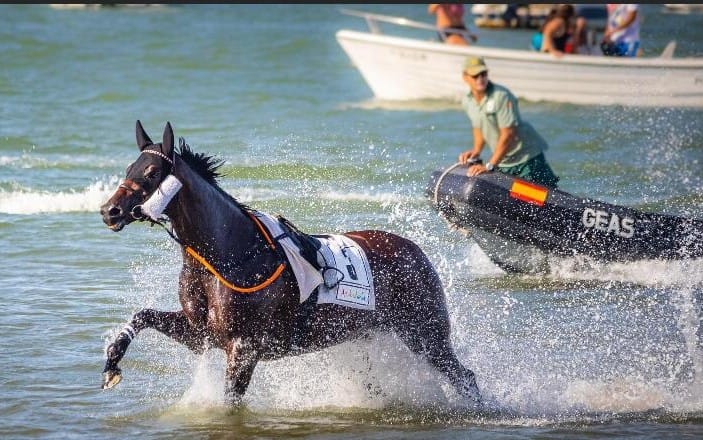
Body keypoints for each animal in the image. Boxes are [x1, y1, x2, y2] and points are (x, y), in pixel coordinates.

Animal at [99, 121, 481, 406]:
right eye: (130, 168)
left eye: (151, 172)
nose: (109, 211)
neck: (228, 256)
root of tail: (416, 251)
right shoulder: (201, 335)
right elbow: (143, 315)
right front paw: (112, 360)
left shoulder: (245, 347)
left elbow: (230, 400)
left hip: (425, 334)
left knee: (464, 376)